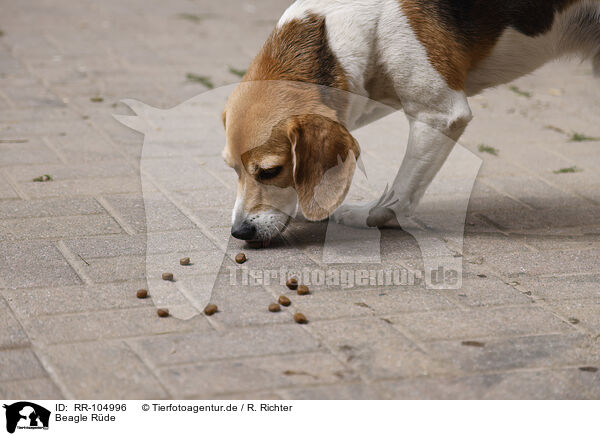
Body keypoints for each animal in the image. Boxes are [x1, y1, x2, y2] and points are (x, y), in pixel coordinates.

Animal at [221, 0, 600, 244]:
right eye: (232, 170)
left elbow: (401, 191)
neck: (333, 35)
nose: (239, 232)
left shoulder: (440, 113)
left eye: (270, 171)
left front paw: (369, 216)